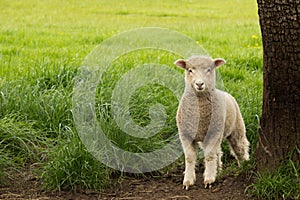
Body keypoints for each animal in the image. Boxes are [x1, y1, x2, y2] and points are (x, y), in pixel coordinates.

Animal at [175, 55, 250, 190]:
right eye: (190, 70)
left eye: (209, 69)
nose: (199, 84)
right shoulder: (185, 135)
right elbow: (189, 158)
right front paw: (188, 180)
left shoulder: (213, 133)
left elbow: (209, 155)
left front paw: (209, 179)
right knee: (218, 152)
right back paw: (218, 170)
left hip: (236, 129)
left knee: (240, 148)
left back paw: (244, 166)